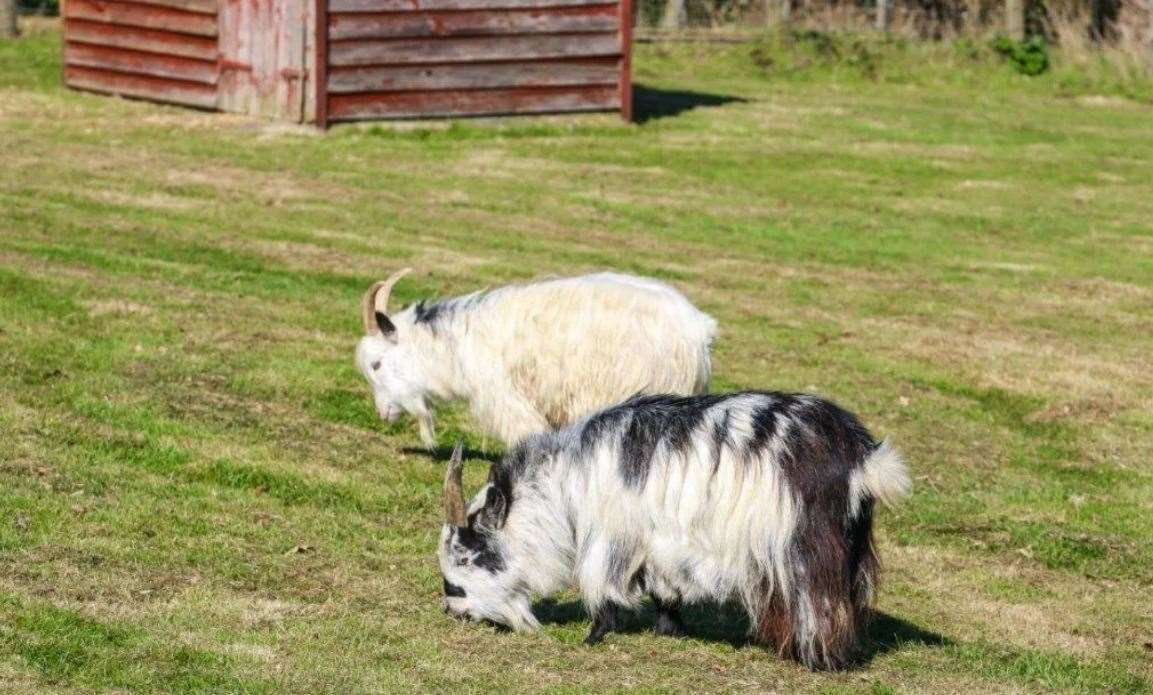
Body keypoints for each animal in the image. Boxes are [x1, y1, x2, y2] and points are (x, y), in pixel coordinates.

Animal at [438, 391, 908, 668]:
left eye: (467, 554)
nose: (452, 607)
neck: (566, 482)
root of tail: (861, 458)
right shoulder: (656, 543)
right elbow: (661, 587)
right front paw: (671, 628)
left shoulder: (611, 535)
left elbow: (604, 584)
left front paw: (595, 635)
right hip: (851, 543)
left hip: (806, 545)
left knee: (820, 601)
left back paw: (818, 659)